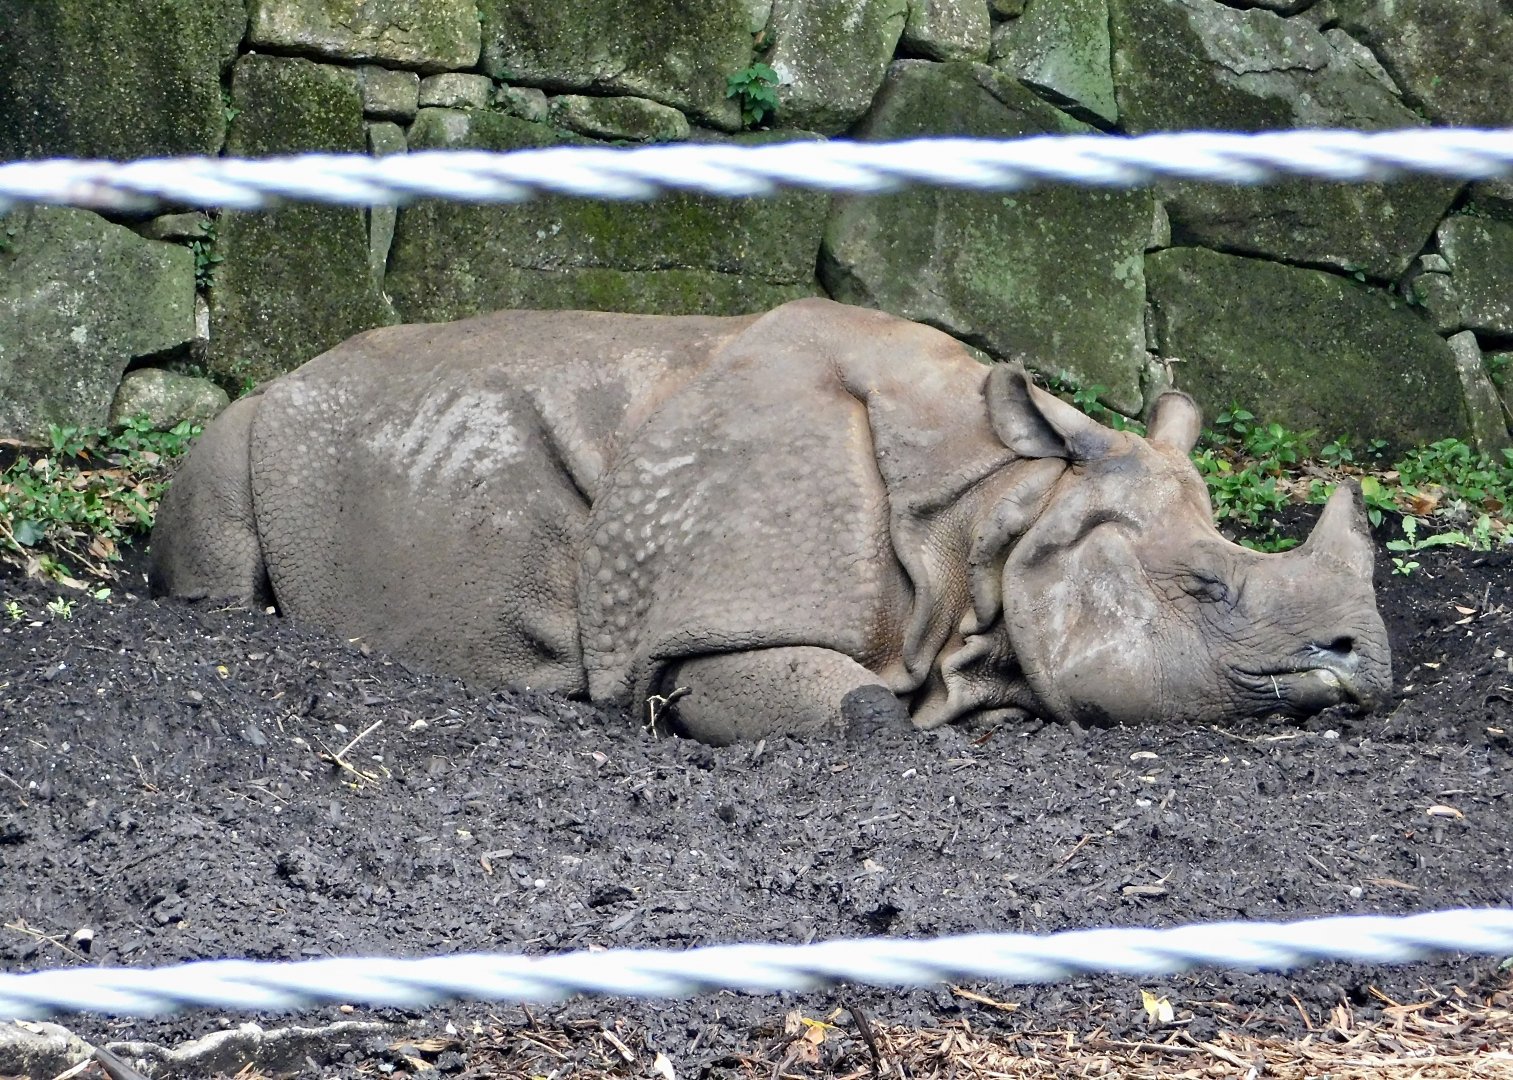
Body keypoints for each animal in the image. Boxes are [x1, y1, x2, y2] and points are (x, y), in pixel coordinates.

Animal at [149, 298, 1391, 743]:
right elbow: (860, 711)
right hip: (247, 427)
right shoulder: (705, 635)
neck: (994, 515)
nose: (1362, 659)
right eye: (1204, 588)